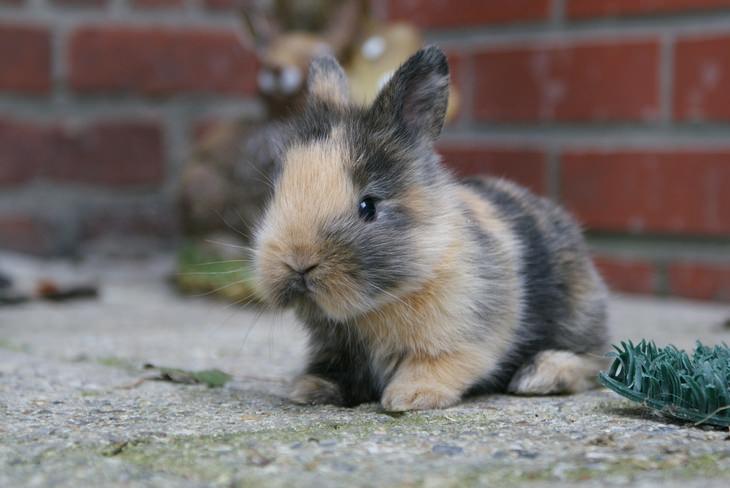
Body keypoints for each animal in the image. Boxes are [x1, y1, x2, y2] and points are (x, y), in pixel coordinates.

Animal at [252, 46, 608, 412]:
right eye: (276, 193)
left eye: (368, 206)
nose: (298, 262)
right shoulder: (335, 348)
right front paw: (310, 389)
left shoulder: (461, 335)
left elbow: (436, 363)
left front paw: (409, 397)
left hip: (576, 316)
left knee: (595, 361)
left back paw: (539, 376)